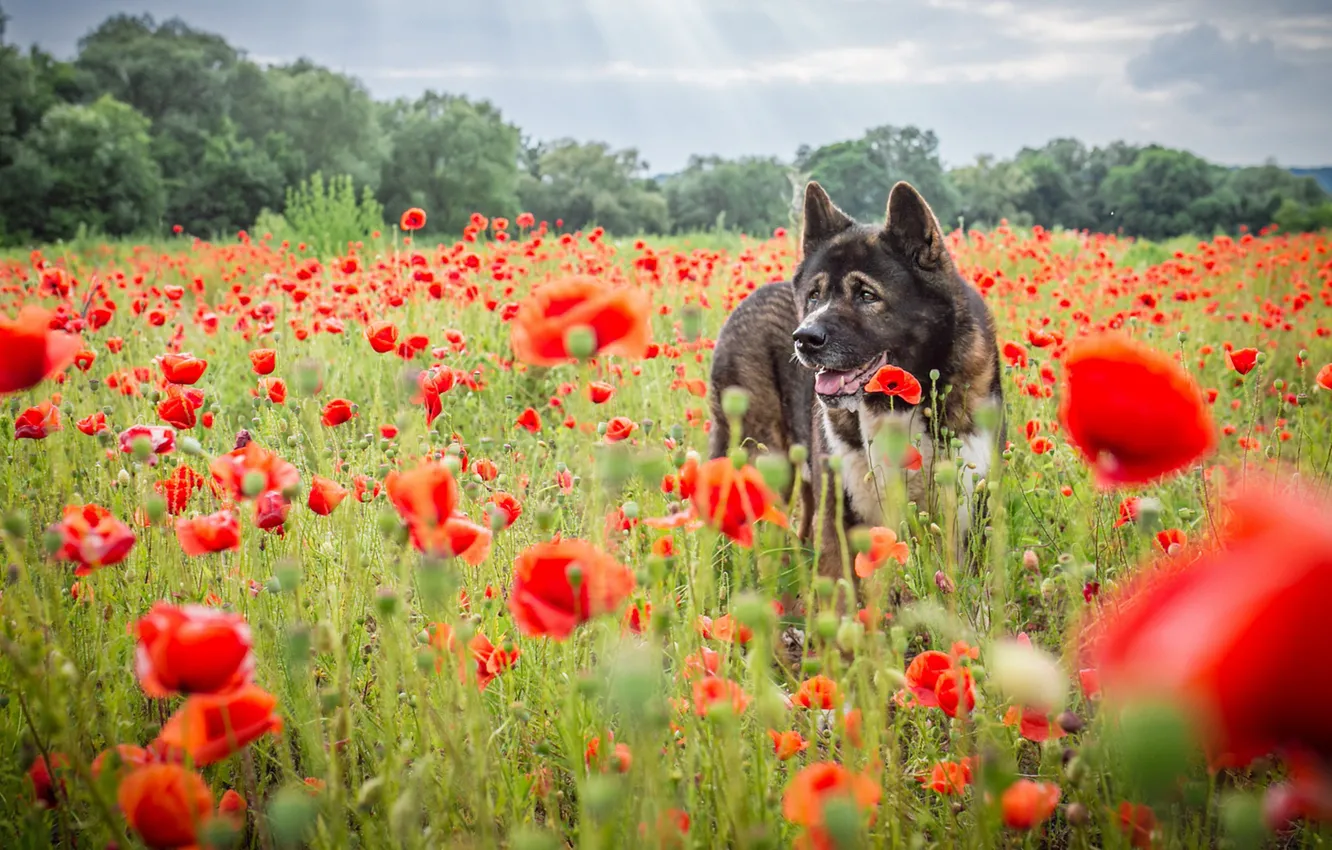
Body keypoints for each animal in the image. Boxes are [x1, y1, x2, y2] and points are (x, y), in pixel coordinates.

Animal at [708, 178, 1001, 596]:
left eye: (867, 295)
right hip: (761, 461)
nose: (804, 338)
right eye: (814, 295)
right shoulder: (841, 521)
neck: (894, 404)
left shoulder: (964, 514)